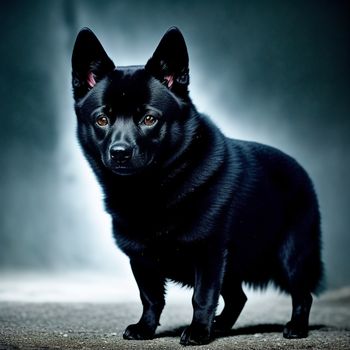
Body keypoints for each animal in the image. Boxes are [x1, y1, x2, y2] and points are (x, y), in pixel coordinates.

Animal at [71, 26, 322, 344]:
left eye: (149, 119)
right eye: (102, 119)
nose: (119, 153)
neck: (149, 190)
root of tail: (300, 171)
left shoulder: (208, 253)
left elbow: (202, 297)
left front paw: (199, 331)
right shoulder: (140, 257)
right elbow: (150, 297)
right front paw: (145, 328)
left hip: (292, 255)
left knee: (302, 293)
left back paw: (296, 327)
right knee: (238, 298)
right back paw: (222, 325)